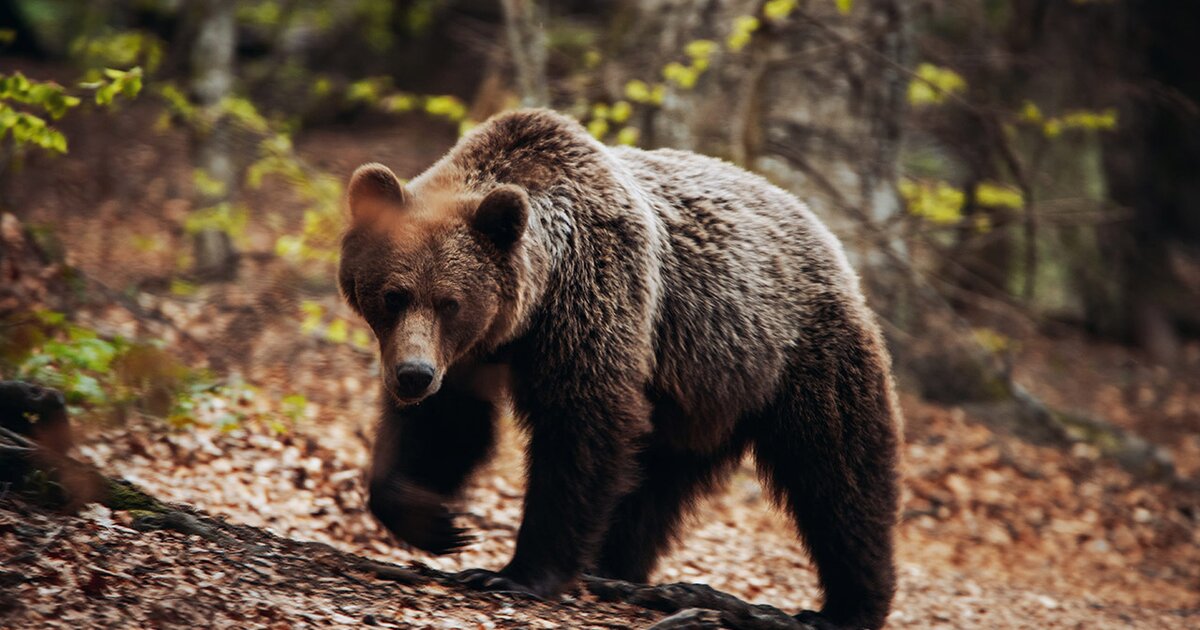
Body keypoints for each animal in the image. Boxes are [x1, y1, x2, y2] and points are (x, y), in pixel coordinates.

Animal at [338, 108, 902, 629]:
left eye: (450, 302)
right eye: (394, 295)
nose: (413, 375)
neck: (527, 316)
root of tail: (824, 233)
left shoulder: (594, 304)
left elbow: (581, 432)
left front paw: (515, 572)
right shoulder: (467, 357)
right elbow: (445, 426)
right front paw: (435, 521)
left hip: (795, 355)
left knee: (838, 474)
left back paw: (849, 606)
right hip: (696, 397)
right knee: (653, 487)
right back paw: (614, 571)